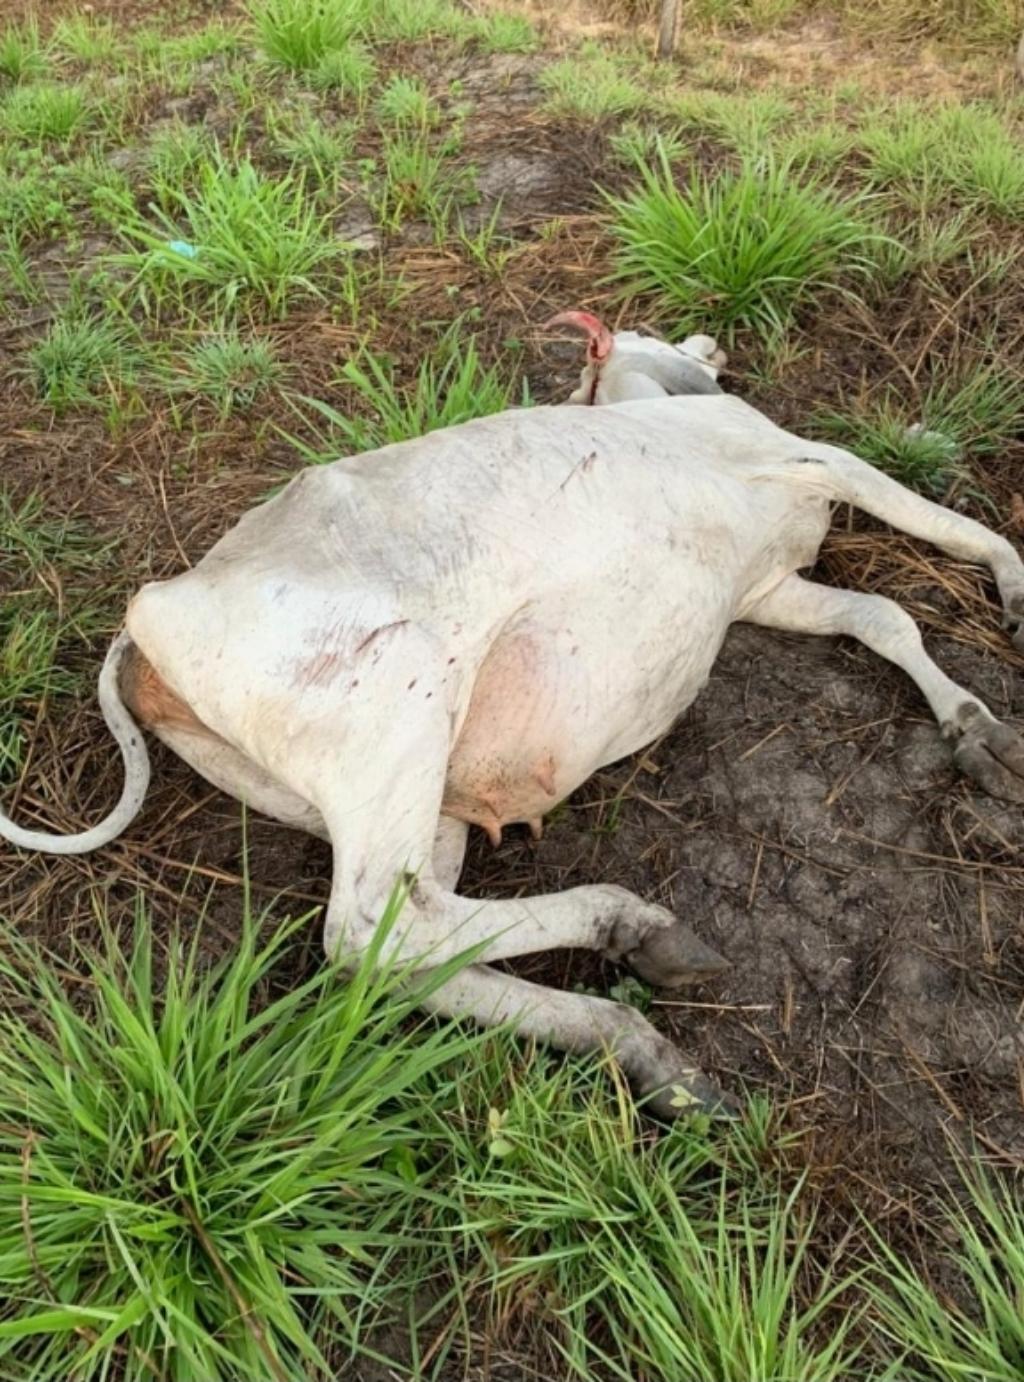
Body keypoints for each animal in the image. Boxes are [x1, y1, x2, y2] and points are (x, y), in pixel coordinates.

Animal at [1, 313, 1022, 1111]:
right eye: (654, 335)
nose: (712, 342)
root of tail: (150, 613)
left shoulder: (764, 587)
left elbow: (879, 618)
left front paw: (977, 734)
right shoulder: (808, 457)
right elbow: (952, 530)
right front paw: (1013, 597)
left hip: (408, 801)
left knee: (401, 949)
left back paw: (643, 1051)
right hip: (399, 705)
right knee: (370, 928)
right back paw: (633, 930)